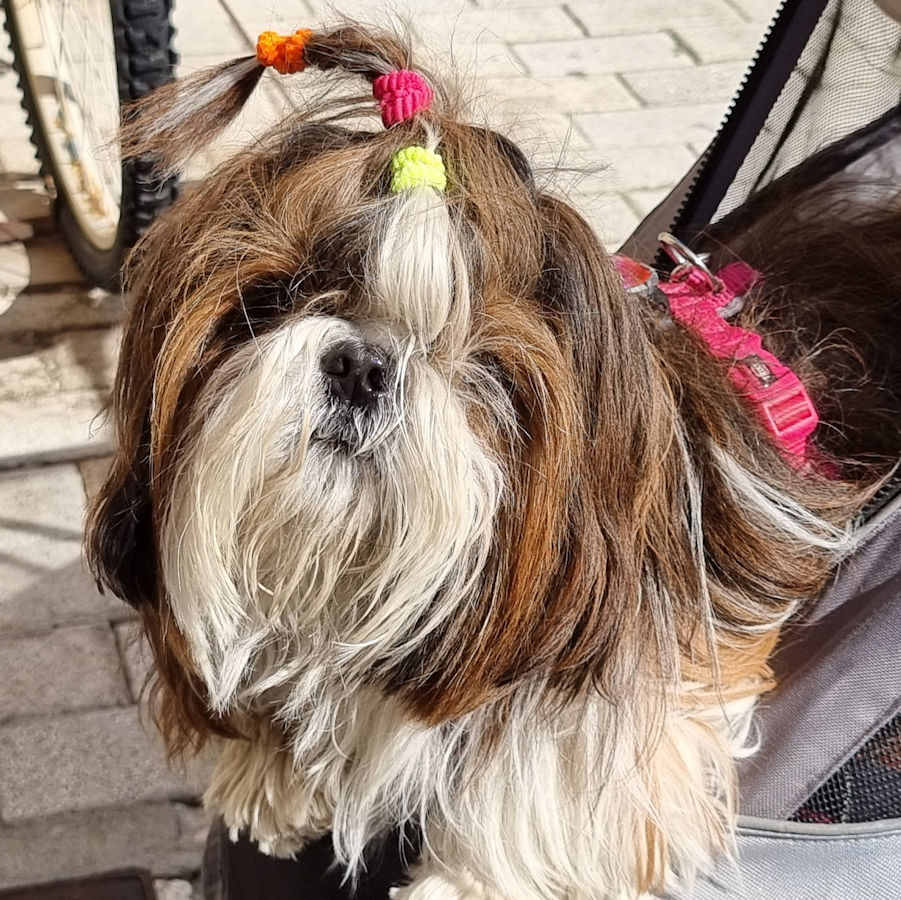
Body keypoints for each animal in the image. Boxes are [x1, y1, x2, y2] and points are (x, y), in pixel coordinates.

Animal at [86, 24, 901, 899]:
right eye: (273, 298)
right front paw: (271, 771)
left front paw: (472, 876)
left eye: (479, 355)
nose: (361, 367)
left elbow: (553, 758)